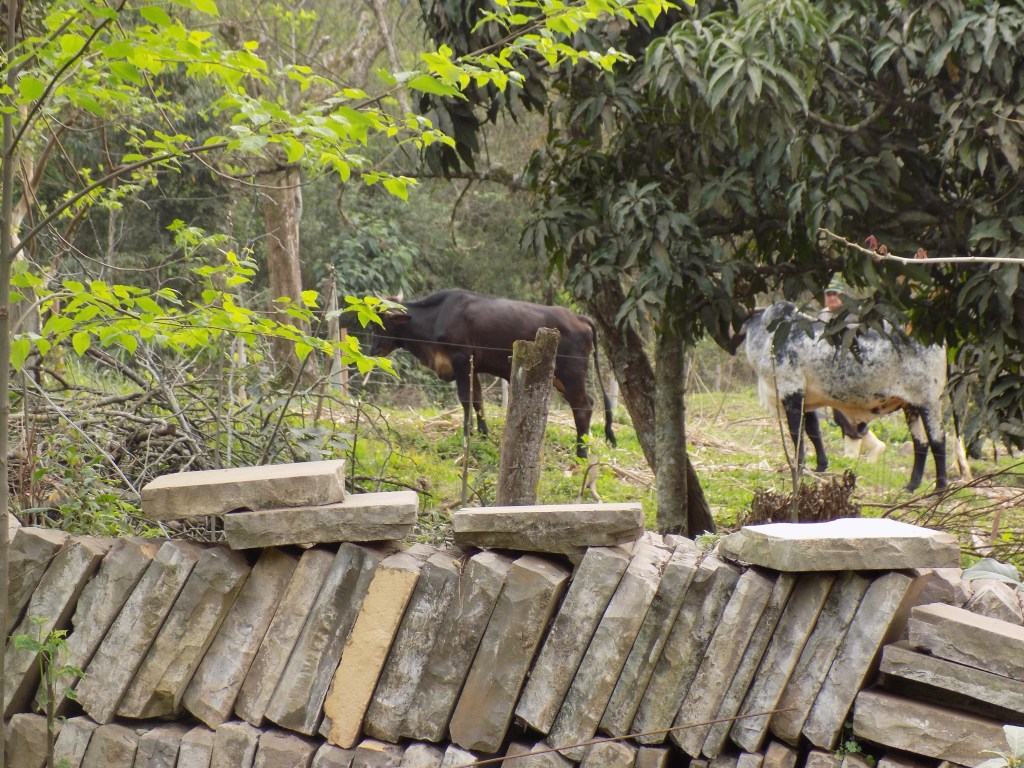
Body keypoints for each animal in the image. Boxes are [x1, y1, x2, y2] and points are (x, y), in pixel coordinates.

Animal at [367, 289, 616, 458]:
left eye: (380, 323)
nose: (372, 351)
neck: (436, 317)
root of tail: (580, 318)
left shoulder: (461, 360)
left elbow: (466, 399)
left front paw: (467, 434)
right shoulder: (473, 367)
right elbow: (478, 400)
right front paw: (484, 435)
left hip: (571, 373)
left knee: (583, 407)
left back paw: (581, 453)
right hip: (561, 378)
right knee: (588, 403)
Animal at [738, 300, 947, 492]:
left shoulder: (792, 392)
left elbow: (797, 434)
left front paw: (799, 469)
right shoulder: (806, 399)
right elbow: (814, 431)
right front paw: (820, 466)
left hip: (930, 402)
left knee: (937, 441)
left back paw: (940, 488)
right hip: (911, 404)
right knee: (920, 443)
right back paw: (912, 485)